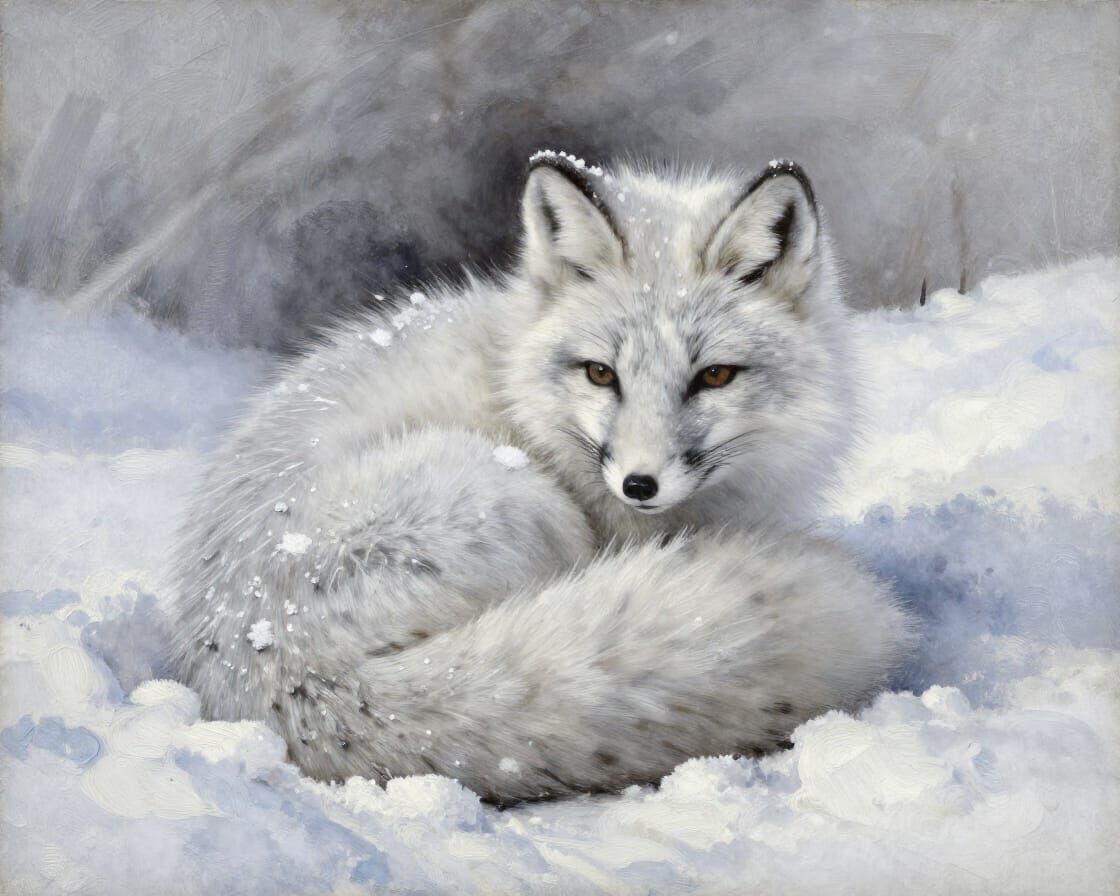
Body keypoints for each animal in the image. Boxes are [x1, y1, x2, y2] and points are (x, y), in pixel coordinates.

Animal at [168, 152, 914, 803]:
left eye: (714, 376)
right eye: (601, 373)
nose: (638, 485)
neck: (517, 392)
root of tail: (284, 679)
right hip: (517, 501)